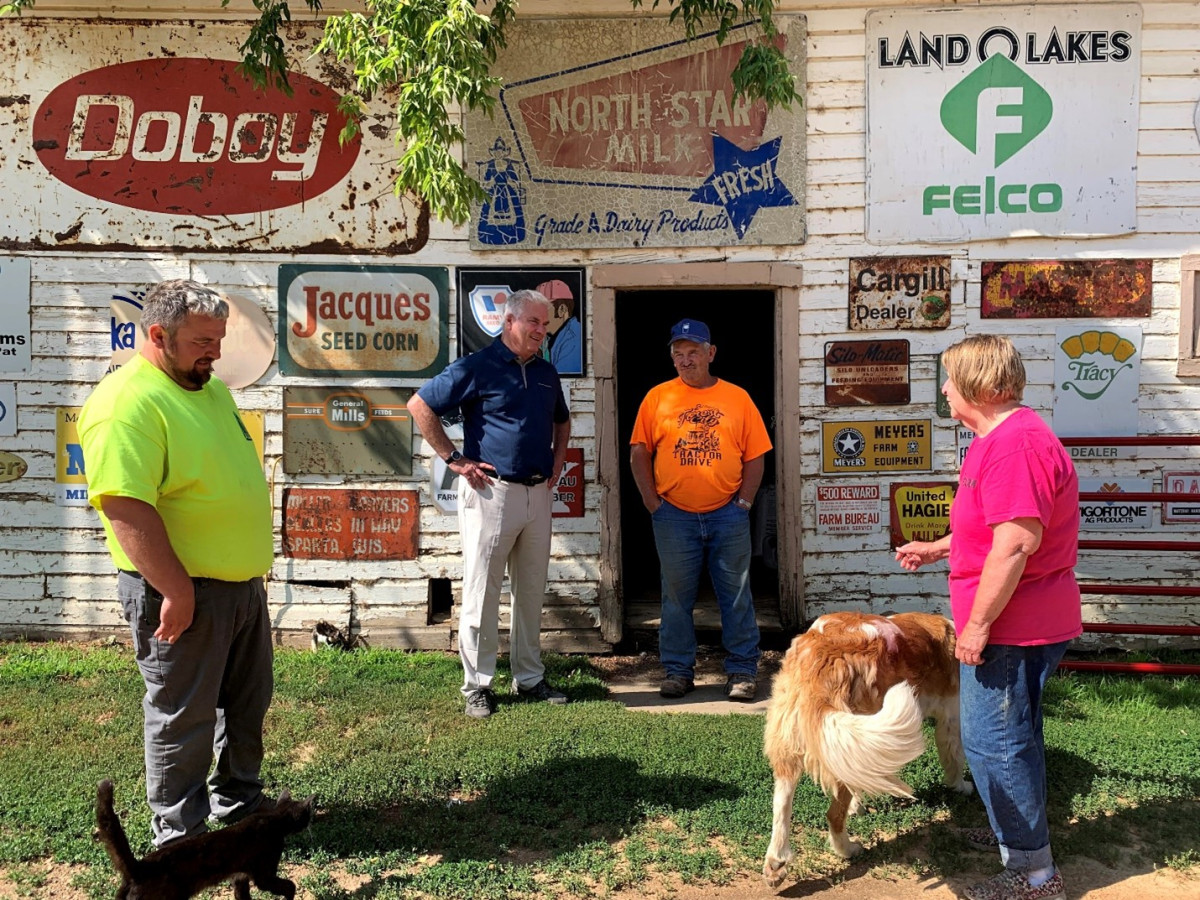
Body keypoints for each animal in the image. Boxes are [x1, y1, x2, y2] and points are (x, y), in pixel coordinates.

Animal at [96, 779, 314, 899]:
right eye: (308, 816)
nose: (309, 824)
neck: (273, 818)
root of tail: (138, 869)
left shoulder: (239, 877)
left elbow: (242, 895)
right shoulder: (263, 874)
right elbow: (289, 886)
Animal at [761, 612, 972, 886]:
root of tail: (824, 651)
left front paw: (857, 805)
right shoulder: (951, 720)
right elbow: (955, 758)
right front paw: (962, 787)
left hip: (800, 741)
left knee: (781, 806)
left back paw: (776, 862)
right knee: (833, 816)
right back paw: (848, 850)